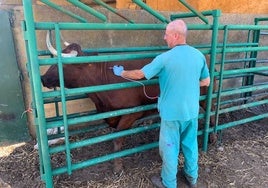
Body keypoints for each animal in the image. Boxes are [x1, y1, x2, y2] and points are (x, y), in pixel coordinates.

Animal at [42, 42, 217, 172]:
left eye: (64, 65)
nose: (43, 78)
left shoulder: (130, 113)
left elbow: (118, 139)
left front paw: (117, 166)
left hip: (204, 98)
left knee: (212, 111)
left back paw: (212, 138)